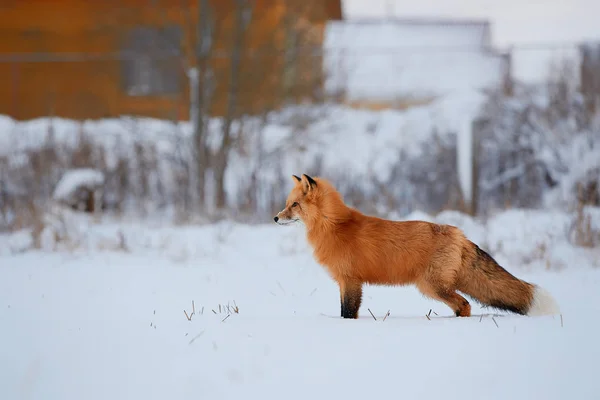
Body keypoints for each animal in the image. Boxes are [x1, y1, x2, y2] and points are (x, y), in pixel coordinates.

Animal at [274, 174, 560, 318]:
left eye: (294, 205)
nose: (275, 218)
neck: (334, 226)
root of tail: (460, 234)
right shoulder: (349, 281)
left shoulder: (350, 280)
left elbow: (348, 312)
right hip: (435, 286)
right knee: (462, 305)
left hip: (432, 286)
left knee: (465, 304)